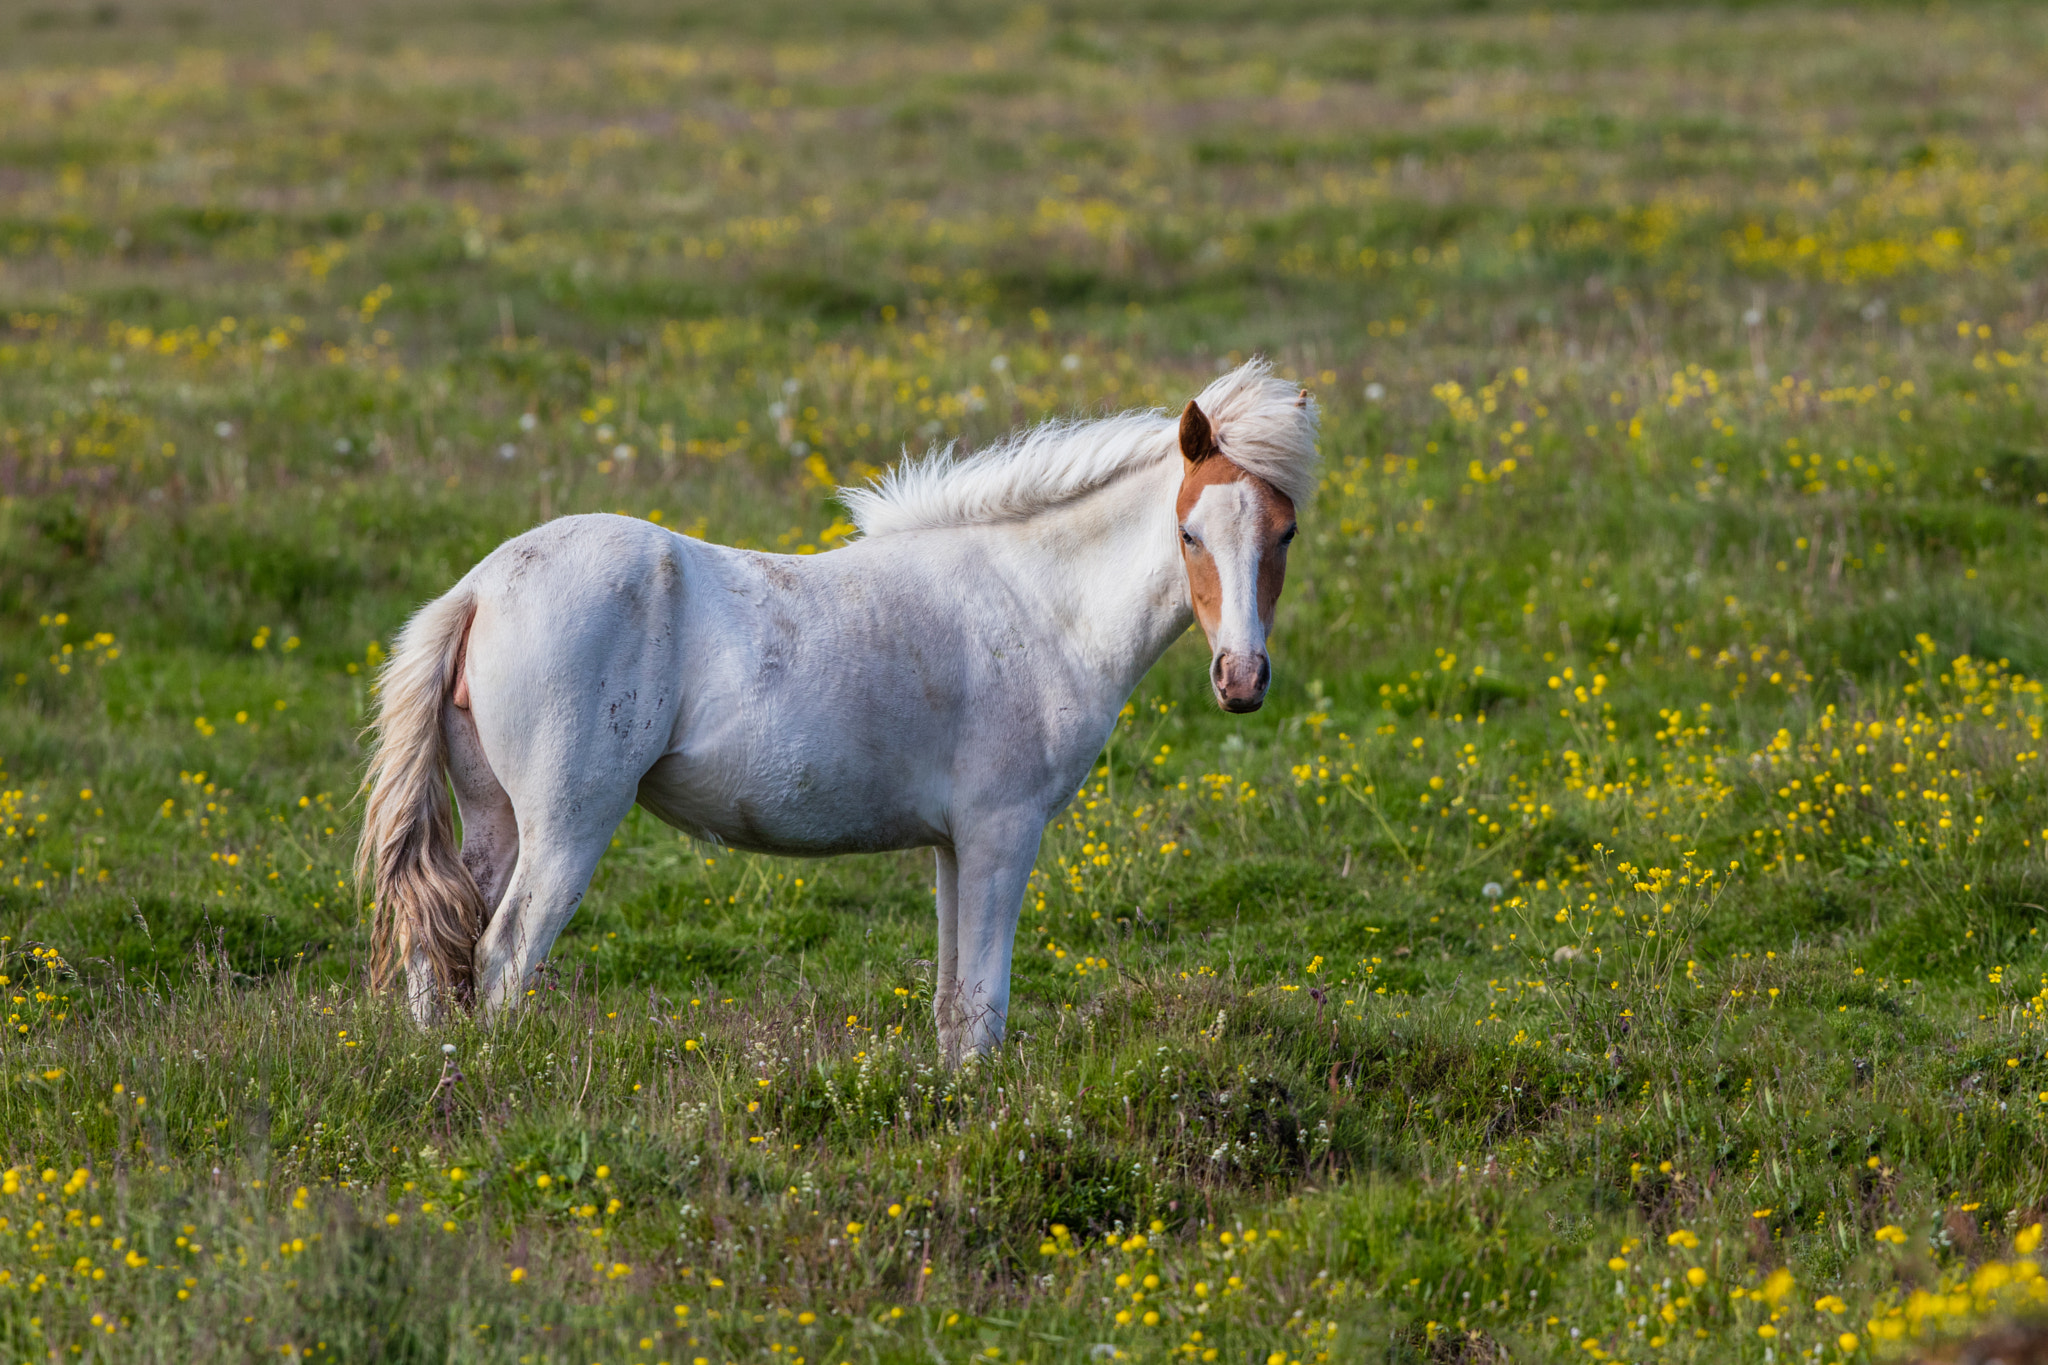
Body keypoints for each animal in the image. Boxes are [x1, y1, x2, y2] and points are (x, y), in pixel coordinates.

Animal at [358, 358, 1318, 1064]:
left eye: (1285, 533)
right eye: (1190, 533)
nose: (1241, 678)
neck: (1036, 602)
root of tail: (479, 589)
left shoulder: (954, 844)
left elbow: (952, 1001)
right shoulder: (1003, 830)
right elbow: (984, 1004)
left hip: (495, 814)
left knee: (439, 946)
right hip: (568, 822)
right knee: (504, 955)